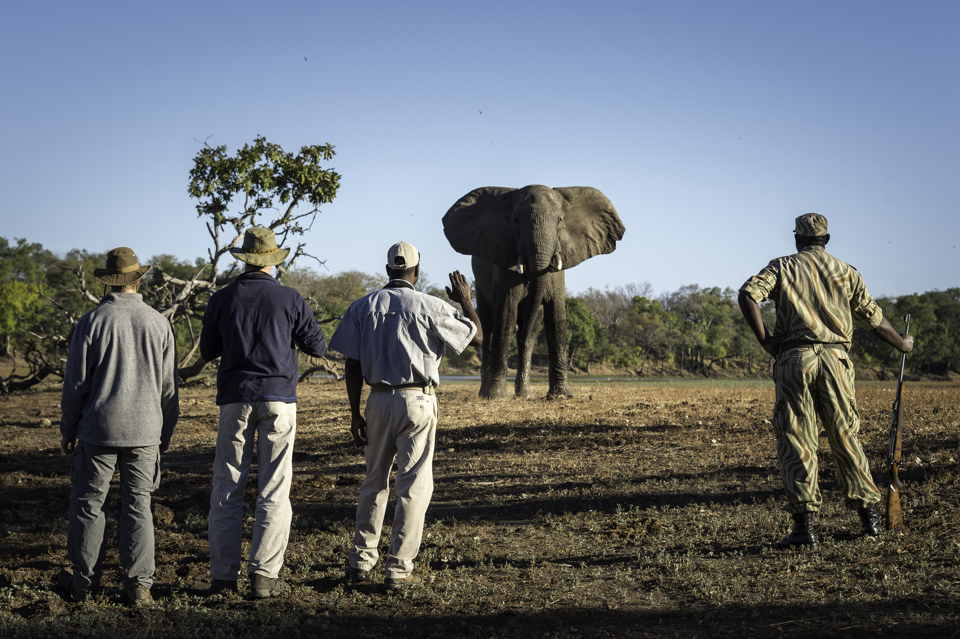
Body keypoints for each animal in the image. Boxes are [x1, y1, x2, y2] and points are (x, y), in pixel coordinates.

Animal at [440, 182, 624, 398]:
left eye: (560, 220)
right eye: (516, 221)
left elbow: (556, 316)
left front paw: (561, 395)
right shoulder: (504, 260)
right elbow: (506, 315)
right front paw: (496, 396)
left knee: (530, 332)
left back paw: (525, 394)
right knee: (488, 328)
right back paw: (485, 392)